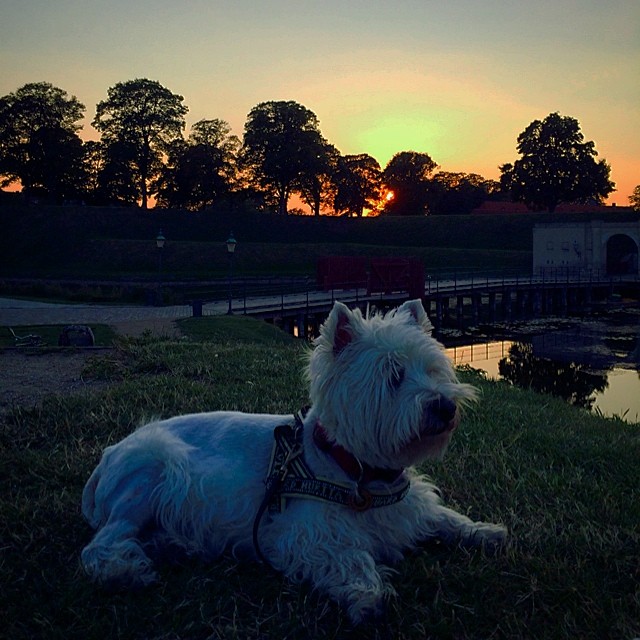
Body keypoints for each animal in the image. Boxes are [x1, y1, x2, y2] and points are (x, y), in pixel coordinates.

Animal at [82, 302, 508, 624]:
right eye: (393, 374)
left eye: (433, 369)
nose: (445, 406)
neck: (358, 472)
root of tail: (106, 458)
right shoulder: (303, 532)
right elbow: (348, 555)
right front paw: (367, 595)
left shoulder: (410, 507)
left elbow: (445, 517)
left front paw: (486, 532)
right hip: (152, 473)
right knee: (101, 545)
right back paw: (128, 571)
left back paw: (175, 546)